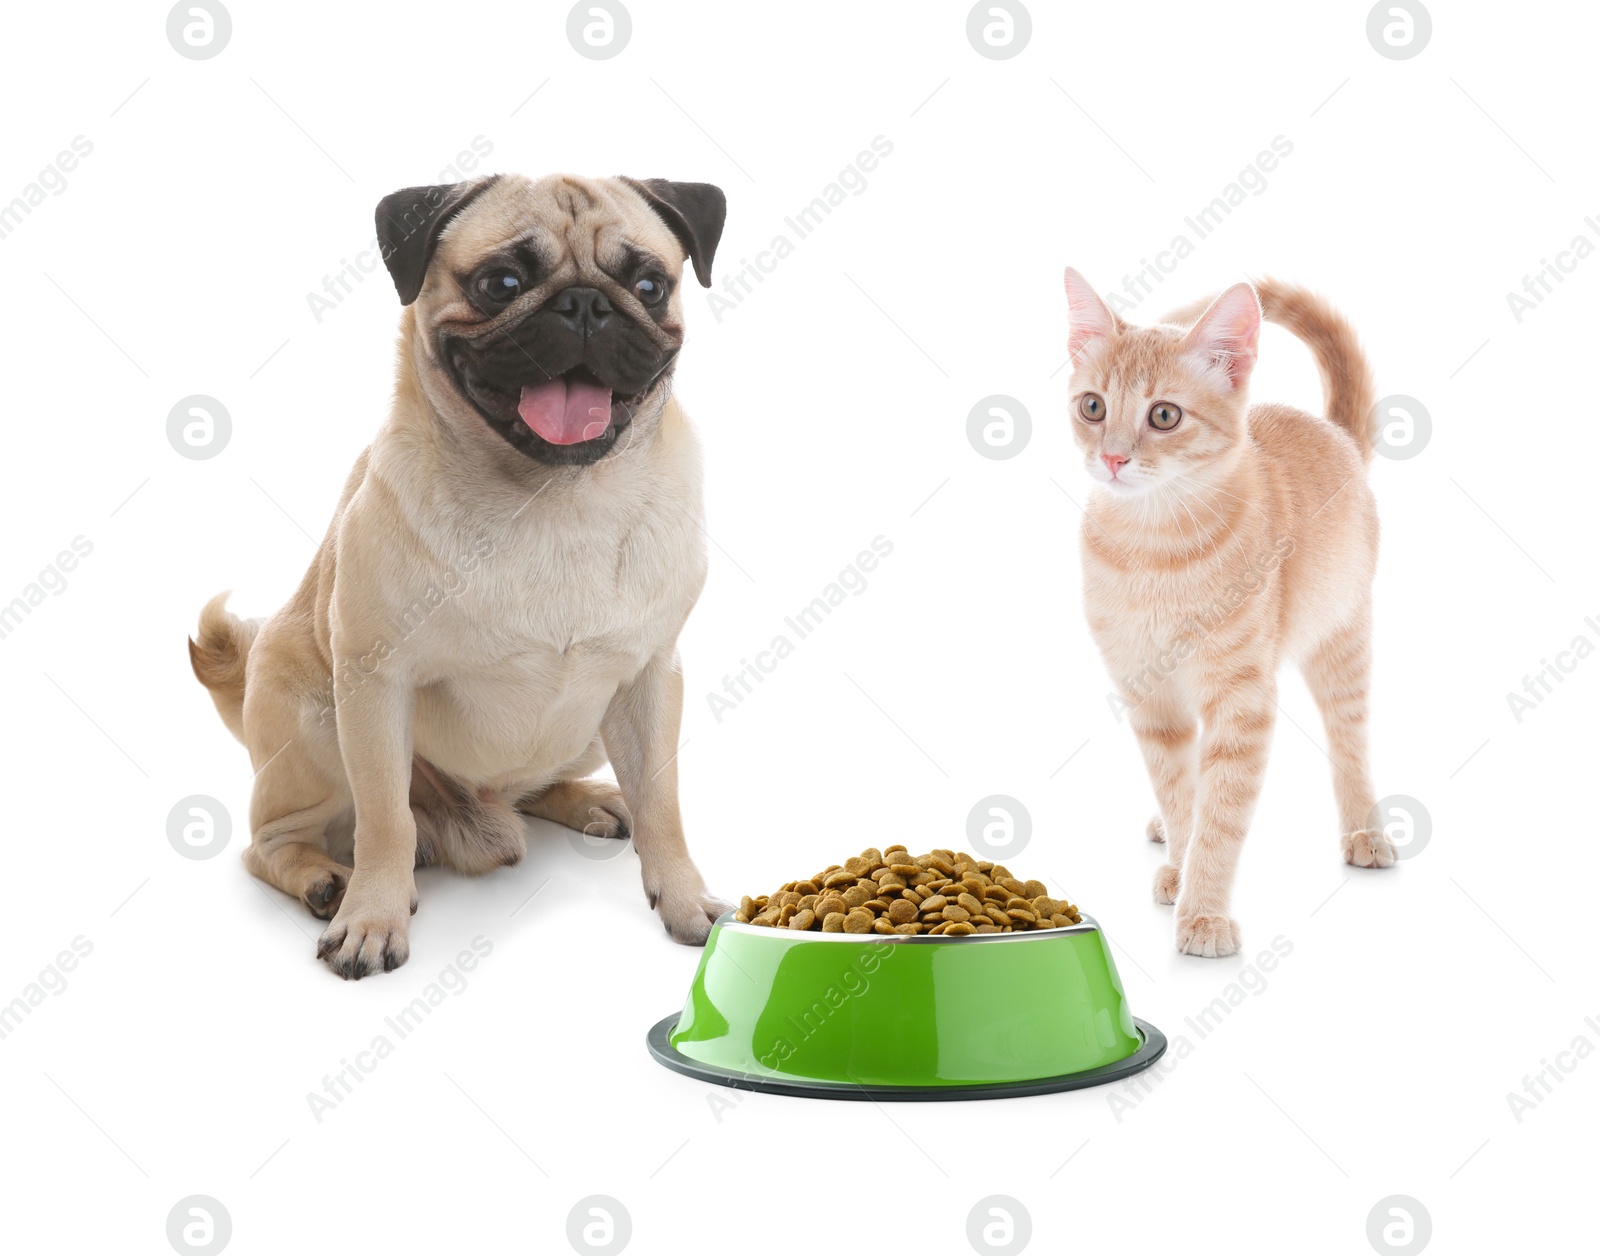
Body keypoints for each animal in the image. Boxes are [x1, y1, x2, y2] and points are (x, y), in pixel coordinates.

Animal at [187, 173, 732, 979]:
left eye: (648, 285)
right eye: (500, 283)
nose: (585, 304)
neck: (555, 498)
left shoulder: (650, 678)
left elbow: (664, 804)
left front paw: (685, 898)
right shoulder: (375, 684)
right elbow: (385, 820)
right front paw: (371, 919)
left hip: (589, 725)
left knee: (536, 787)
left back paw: (588, 801)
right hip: (317, 724)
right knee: (272, 844)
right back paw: (325, 882)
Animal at [1068, 268, 1395, 953]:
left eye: (1164, 415)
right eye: (1093, 407)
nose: (1112, 457)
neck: (1154, 549)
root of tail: (1337, 434)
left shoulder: (1242, 699)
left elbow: (1220, 816)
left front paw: (1203, 911)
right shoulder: (1149, 697)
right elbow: (1179, 791)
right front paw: (1179, 864)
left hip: (1342, 638)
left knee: (1350, 738)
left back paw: (1365, 830)